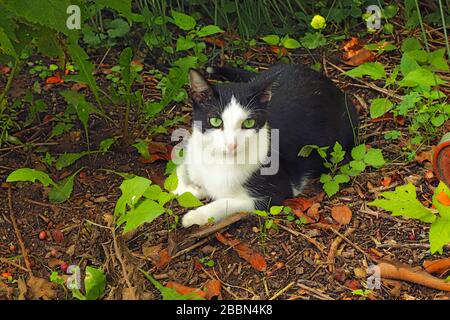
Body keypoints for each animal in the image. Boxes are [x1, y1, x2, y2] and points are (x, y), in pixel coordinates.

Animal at [174, 63, 356, 226]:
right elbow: (178, 170)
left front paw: (194, 216)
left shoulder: (276, 193)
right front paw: (189, 189)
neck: (219, 160)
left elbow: (226, 202)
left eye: (249, 123)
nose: (232, 144)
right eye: (215, 120)